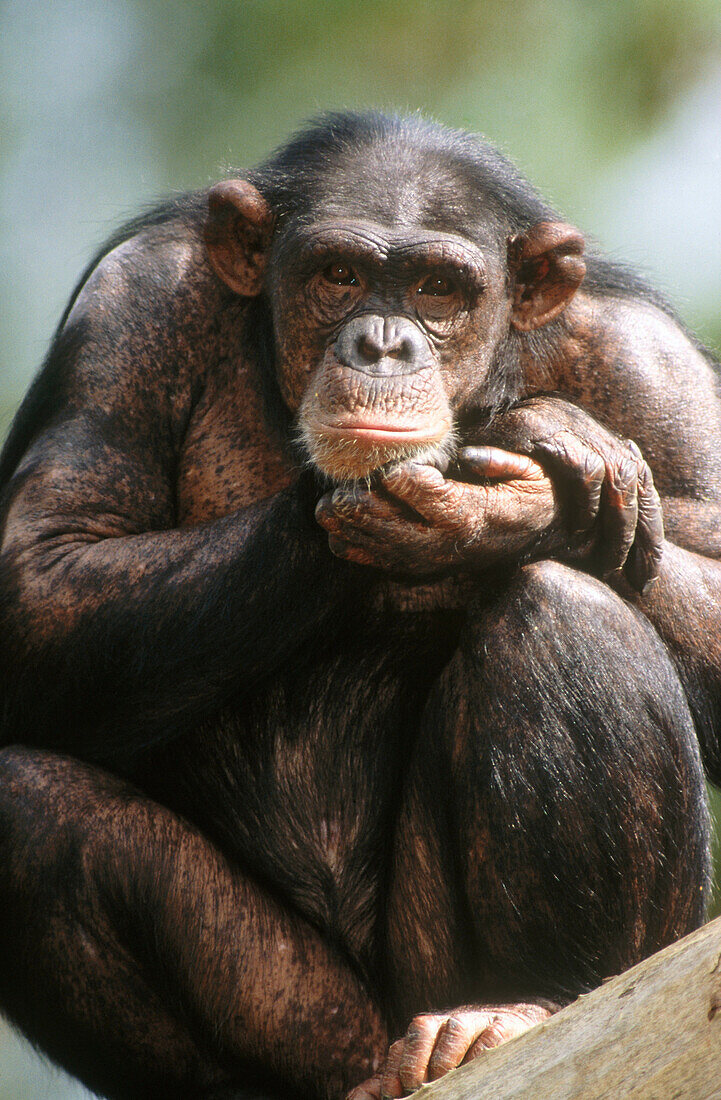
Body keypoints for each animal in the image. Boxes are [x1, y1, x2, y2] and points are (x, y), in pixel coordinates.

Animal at [1, 113, 721, 1100]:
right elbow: (43, 574)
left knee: (566, 610)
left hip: (482, 968)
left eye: (438, 289)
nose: (383, 344)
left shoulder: (644, 361)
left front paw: (515, 490)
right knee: (29, 807)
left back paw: (519, 1006)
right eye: (337, 274)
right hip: (307, 1008)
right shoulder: (131, 307)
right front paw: (527, 439)